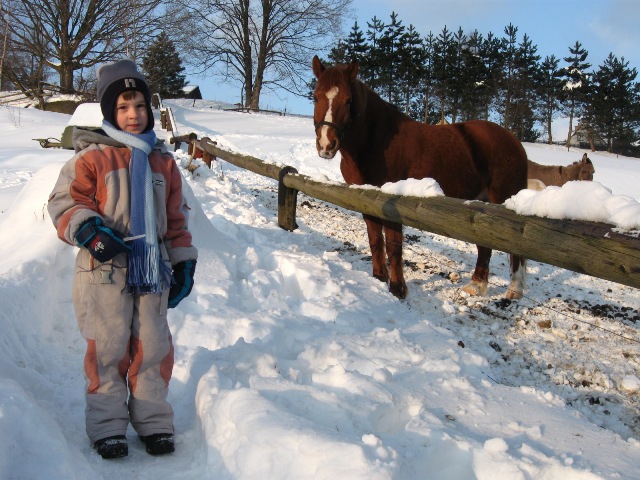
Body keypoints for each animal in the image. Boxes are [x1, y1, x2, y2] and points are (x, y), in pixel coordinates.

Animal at [312, 57, 528, 300]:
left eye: (348, 100)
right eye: (316, 96)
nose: (326, 145)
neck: (376, 142)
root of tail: (513, 140)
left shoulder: (391, 203)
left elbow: (394, 245)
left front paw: (398, 289)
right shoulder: (366, 201)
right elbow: (375, 239)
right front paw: (379, 278)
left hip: (503, 200)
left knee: (517, 248)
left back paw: (514, 290)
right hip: (480, 202)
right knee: (485, 245)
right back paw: (476, 285)